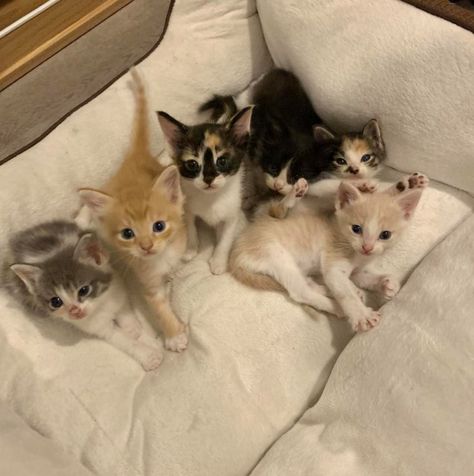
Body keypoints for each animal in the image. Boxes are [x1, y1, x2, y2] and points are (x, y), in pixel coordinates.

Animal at [5, 219, 163, 372]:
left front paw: (137, 332)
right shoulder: (97, 327)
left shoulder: (117, 290)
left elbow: (125, 311)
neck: (100, 305)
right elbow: (124, 340)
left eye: (83, 290)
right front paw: (148, 356)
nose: (74, 311)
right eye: (56, 302)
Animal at [78, 69, 188, 354]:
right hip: (106, 187)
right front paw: (174, 335)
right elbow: (159, 308)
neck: (160, 259)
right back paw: (82, 215)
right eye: (128, 234)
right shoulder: (147, 281)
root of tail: (133, 160)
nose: (146, 246)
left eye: (159, 226)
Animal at [156, 106, 254, 274]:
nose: (208, 178)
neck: (211, 198)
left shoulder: (232, 211)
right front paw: (190, 249)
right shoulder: (186, 206)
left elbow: (226, 237)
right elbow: (190, 226)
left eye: (222, 161)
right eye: (192, 164)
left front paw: (219, 261)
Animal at [228, 178, 424, 330]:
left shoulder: (357, 270)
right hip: (276, 254)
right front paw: (361, 315)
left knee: (306, 282)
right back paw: (337, 307)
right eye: (356, 229)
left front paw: (386, 283)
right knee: (301, 292)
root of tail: (235, 251)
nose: (367, 247)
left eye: (385, 235)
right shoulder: (334, 265)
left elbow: (363, 277)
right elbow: (345, 293)